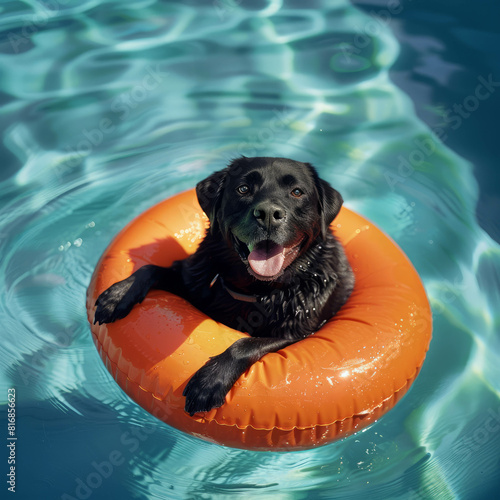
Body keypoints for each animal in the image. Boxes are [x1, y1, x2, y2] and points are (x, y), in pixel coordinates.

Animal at [93, 158, 352, 416]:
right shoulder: (193, 278)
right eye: (243, 189)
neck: (255, 290)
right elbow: (152, 269)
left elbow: (245, 344)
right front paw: (118, 296)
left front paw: (210, 381)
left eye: (297, 192)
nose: (268, 214)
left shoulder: (298, 333)